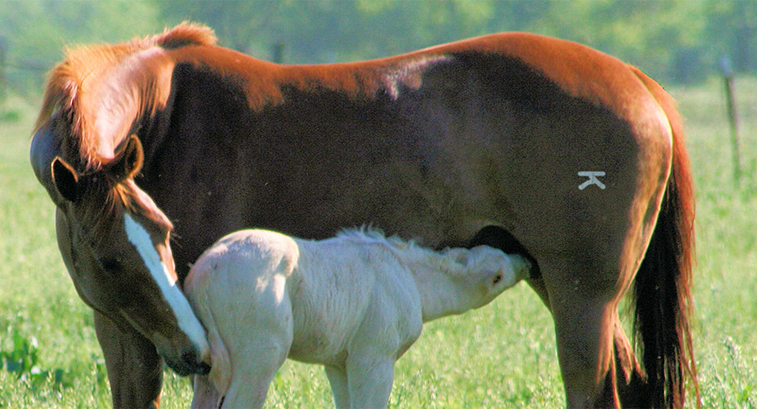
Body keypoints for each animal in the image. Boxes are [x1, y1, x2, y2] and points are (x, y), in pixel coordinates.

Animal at [185, 228, 528, 406]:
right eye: (499, 276)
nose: (526, 261)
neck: (410, 277)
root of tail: (204, 275)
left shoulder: (339, 361)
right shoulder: (374, 355)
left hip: (210, 364)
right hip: (258, 352)